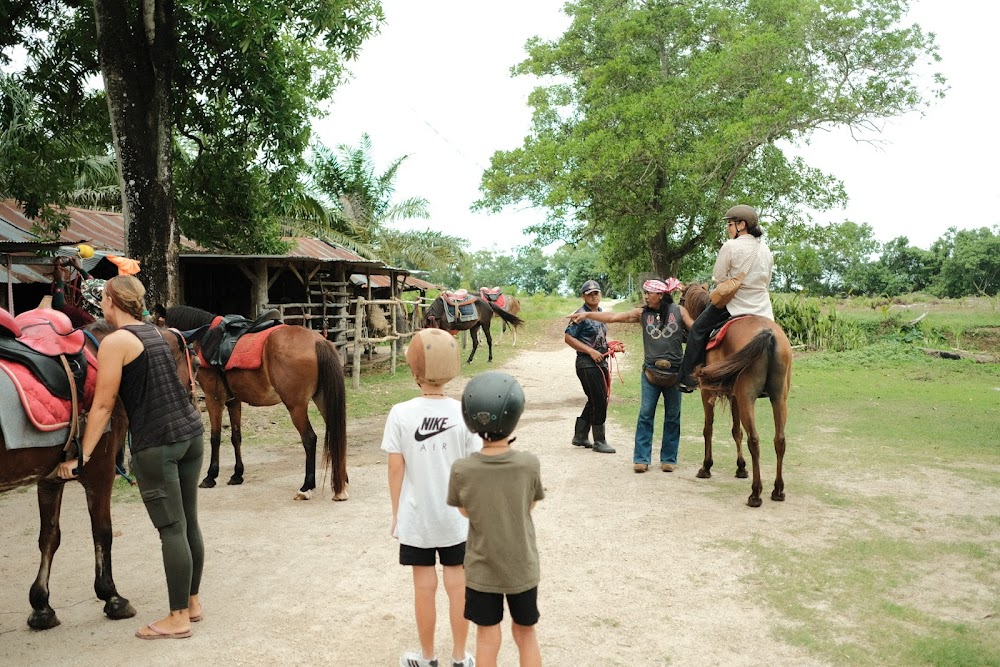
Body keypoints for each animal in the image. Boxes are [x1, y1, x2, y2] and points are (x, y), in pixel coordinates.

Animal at [166, 306, 350, 498]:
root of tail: (317, 341)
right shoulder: (233, 401)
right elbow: (236, 437)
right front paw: (237, 474)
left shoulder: (213, 398)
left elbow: (215, 437)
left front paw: (210, 476)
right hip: (322, 399)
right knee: (337, 432)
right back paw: (341, 480)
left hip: (296, 407)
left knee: (309, 439)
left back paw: (306, 486)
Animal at [684, 282, 792, 506]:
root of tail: (768, 335)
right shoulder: (734, 396)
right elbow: (736, 431)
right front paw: (741, 467)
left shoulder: (707, 392)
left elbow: (708, 429)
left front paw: (706, 466)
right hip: (778, 398)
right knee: (779, 440)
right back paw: (778, 490)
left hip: (747, 397)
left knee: (754, 440)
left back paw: (756, 493)